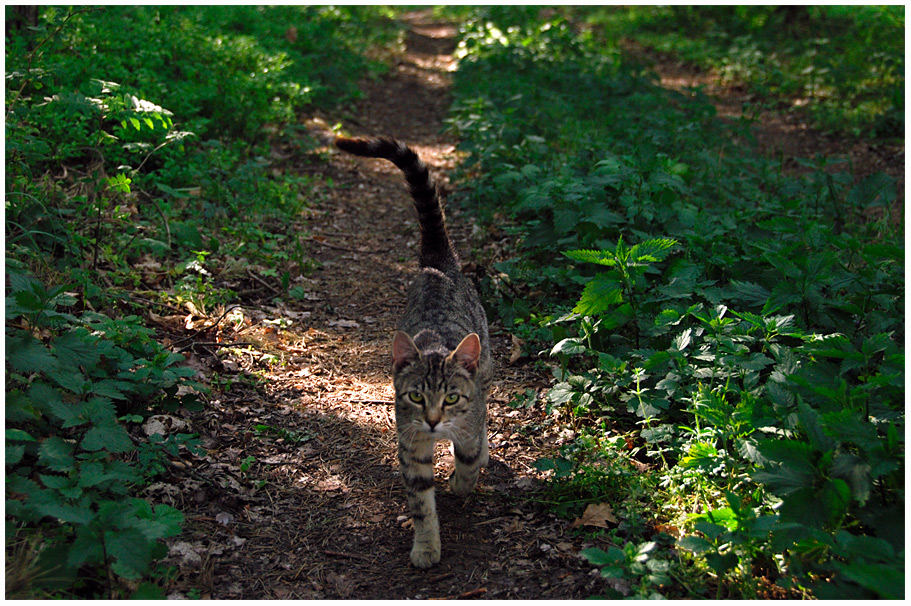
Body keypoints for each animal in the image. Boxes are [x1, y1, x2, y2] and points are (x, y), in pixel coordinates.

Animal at [334, 138, 492, 568]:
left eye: (451, 397)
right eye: (417, 396)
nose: (434, 421)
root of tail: (437, 266)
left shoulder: (468, 420)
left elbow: (469, 458)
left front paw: (462, 480)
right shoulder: (410, 444)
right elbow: (421, 503)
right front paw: (425, 545)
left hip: (487, 366)